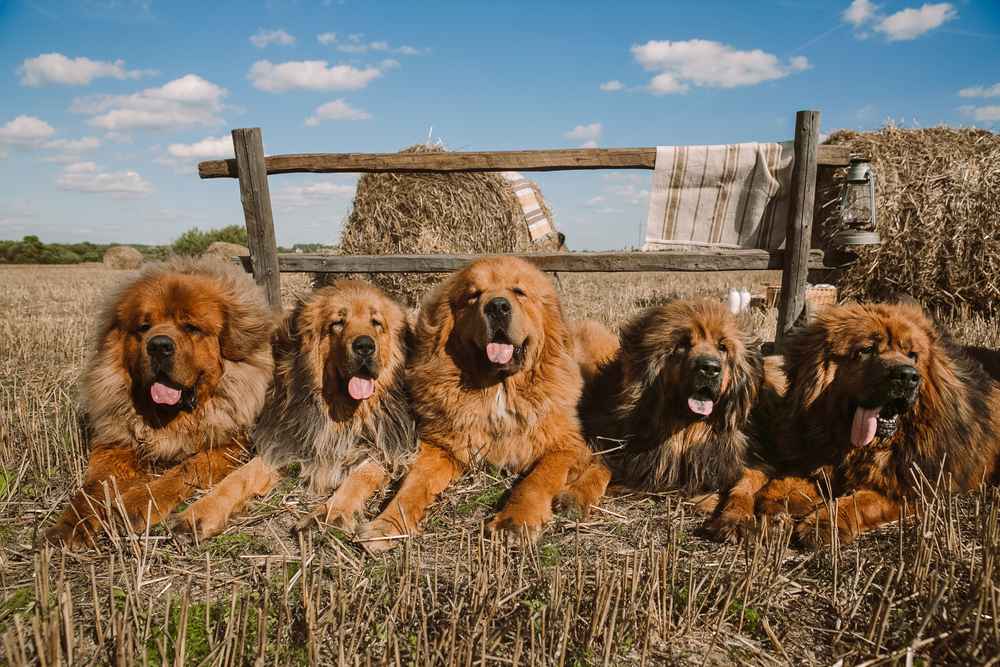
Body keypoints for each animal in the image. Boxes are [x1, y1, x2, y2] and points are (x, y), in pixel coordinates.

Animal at [45, 258, 274, 552]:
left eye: (191, 327)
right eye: (144, 327)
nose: (159, 346)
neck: (172, 416)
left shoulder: (229, 445)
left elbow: (186, 468)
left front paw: (138, 503)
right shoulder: (116, 446)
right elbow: (94, 487)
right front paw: (70, 525)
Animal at [174, 280, 416, 540]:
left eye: (376, 322)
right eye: (337, 323)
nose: (364, 346)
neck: (340, 412)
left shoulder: (387, 448)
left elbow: (360, 477)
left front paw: (328, 515)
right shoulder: (285, 442)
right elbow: (239, 477)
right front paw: (199, 512)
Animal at [360, 256, 608, 552]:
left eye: (519, 291)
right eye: (474, 295)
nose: (498, 307)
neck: (499, 389)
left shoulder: (566, 446)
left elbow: (537, 480)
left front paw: (516, 520)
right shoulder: (441, 447)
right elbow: (413, 485)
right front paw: (387, 524)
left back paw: (575, 499)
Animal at [576, 302, 760, 512]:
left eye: (722, 347)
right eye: (682, 345)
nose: (710, 368)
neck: (682, 433)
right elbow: (598, 467)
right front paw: (576, 497)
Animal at [712, 302, 1000, 548]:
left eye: (912, 355)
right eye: (867, 350)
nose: (908, 376)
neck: (860, 448)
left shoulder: (910, 487)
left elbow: (861, 502)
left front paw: (822, 523)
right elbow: (787, 482)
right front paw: (776, 502)